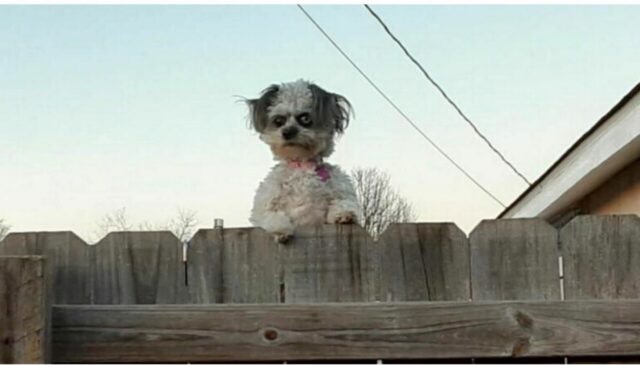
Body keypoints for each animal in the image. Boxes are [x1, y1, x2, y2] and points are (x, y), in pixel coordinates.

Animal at [246, 81, 362, 243]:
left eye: (305, 118)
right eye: (278, 121)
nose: (287, 132)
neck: (302, 165)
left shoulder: (341, 190)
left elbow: (344, 202)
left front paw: (345, 214)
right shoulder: (264, 205)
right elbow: (272, 215)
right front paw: (280, 230)